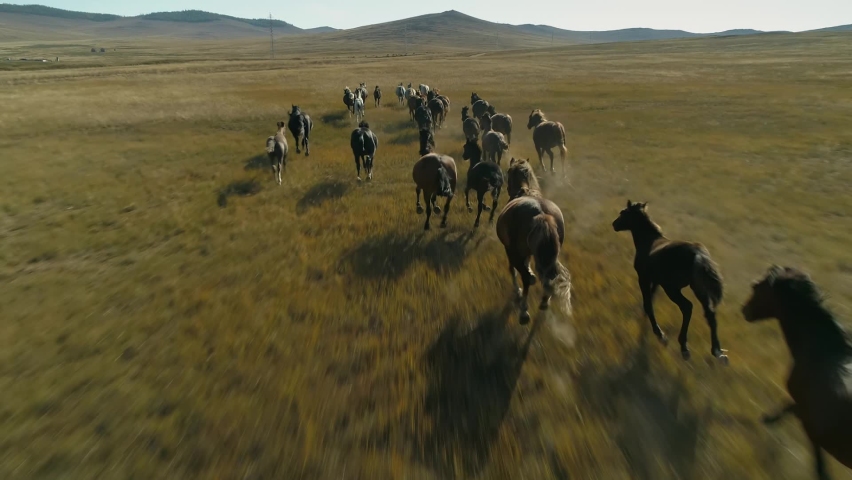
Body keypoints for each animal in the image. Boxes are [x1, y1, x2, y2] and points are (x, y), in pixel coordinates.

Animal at [496, 191, 568, 322]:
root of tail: (541, 214)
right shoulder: (529, 253)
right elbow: (527, 264)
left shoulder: (510, 251)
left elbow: (514, 270)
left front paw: (517, 290)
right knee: (550, 277)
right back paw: (544, 302)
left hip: (514, 253)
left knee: (525, 278)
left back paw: (524, 311)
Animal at [612, 201, 724, 362]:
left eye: (623, 213)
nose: (614, 224)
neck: (649, 241)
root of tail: (698, 254)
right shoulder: (656, 280)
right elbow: (651, 299)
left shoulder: (643, 278)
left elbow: (648, 303)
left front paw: (660, 334)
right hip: (698, 288)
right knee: (710, 313)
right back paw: (718, 352)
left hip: (672, 289)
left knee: (687, 307)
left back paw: (684, 347)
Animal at [744, 266, 852, 480]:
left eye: (756, 287)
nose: (745, 310)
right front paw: (769, 419)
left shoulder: (811, 424)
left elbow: (820, 467)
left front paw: (768, 418)